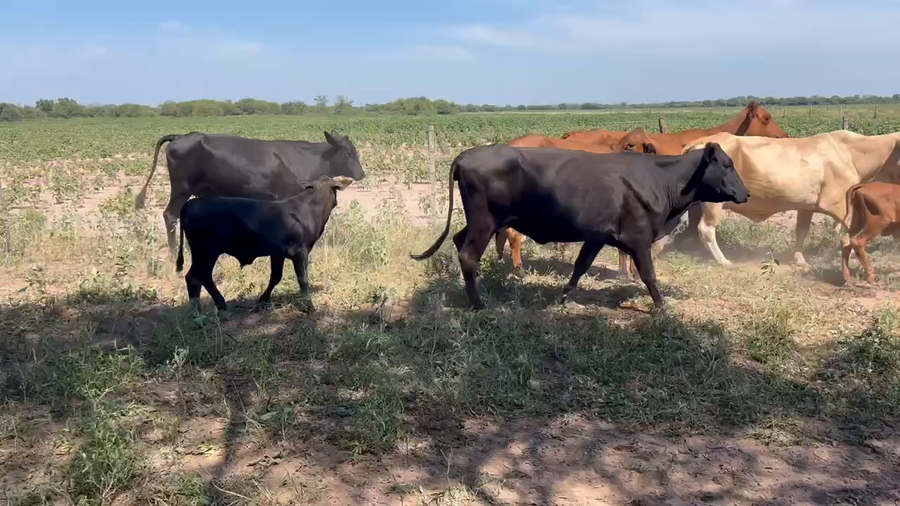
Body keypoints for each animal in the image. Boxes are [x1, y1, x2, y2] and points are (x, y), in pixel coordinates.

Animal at [135, 130, 365, 260]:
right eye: (347, 152)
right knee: (170, 216)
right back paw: (173, 254)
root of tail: (180, 137)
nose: (361, 173)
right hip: (181, 189)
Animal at [176, 175, 354, 312]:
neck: (308, 209)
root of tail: (189, 204)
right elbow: (302, 278)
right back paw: (197, 314)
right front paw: (309, 306)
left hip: (206, 253)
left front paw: (262, 301)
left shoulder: (278, 253)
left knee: (203, 276)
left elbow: (275, 277)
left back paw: (220, 305)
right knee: (194, 277)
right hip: (205, 251)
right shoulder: (300, 251)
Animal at [409, 142, 750, 310]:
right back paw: (479, 304)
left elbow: (580, 266)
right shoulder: (638, 238)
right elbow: (649, 275)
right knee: (467, 254)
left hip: (481, 222)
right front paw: (663, 305)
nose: (746, 193)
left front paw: (565, 297)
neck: (661, 179)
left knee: (458, 241)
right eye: (727, 164)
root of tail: (469, 153)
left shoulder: (597, 236)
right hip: (484, 221)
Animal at [681, 131, 900, 266]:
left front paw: (800, 259)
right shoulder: (838, 204)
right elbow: (851, 230)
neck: (853, 154)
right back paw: (723, 261)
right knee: (706, 229)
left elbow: (801, 231)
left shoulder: (807, 206)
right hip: (713, 203)